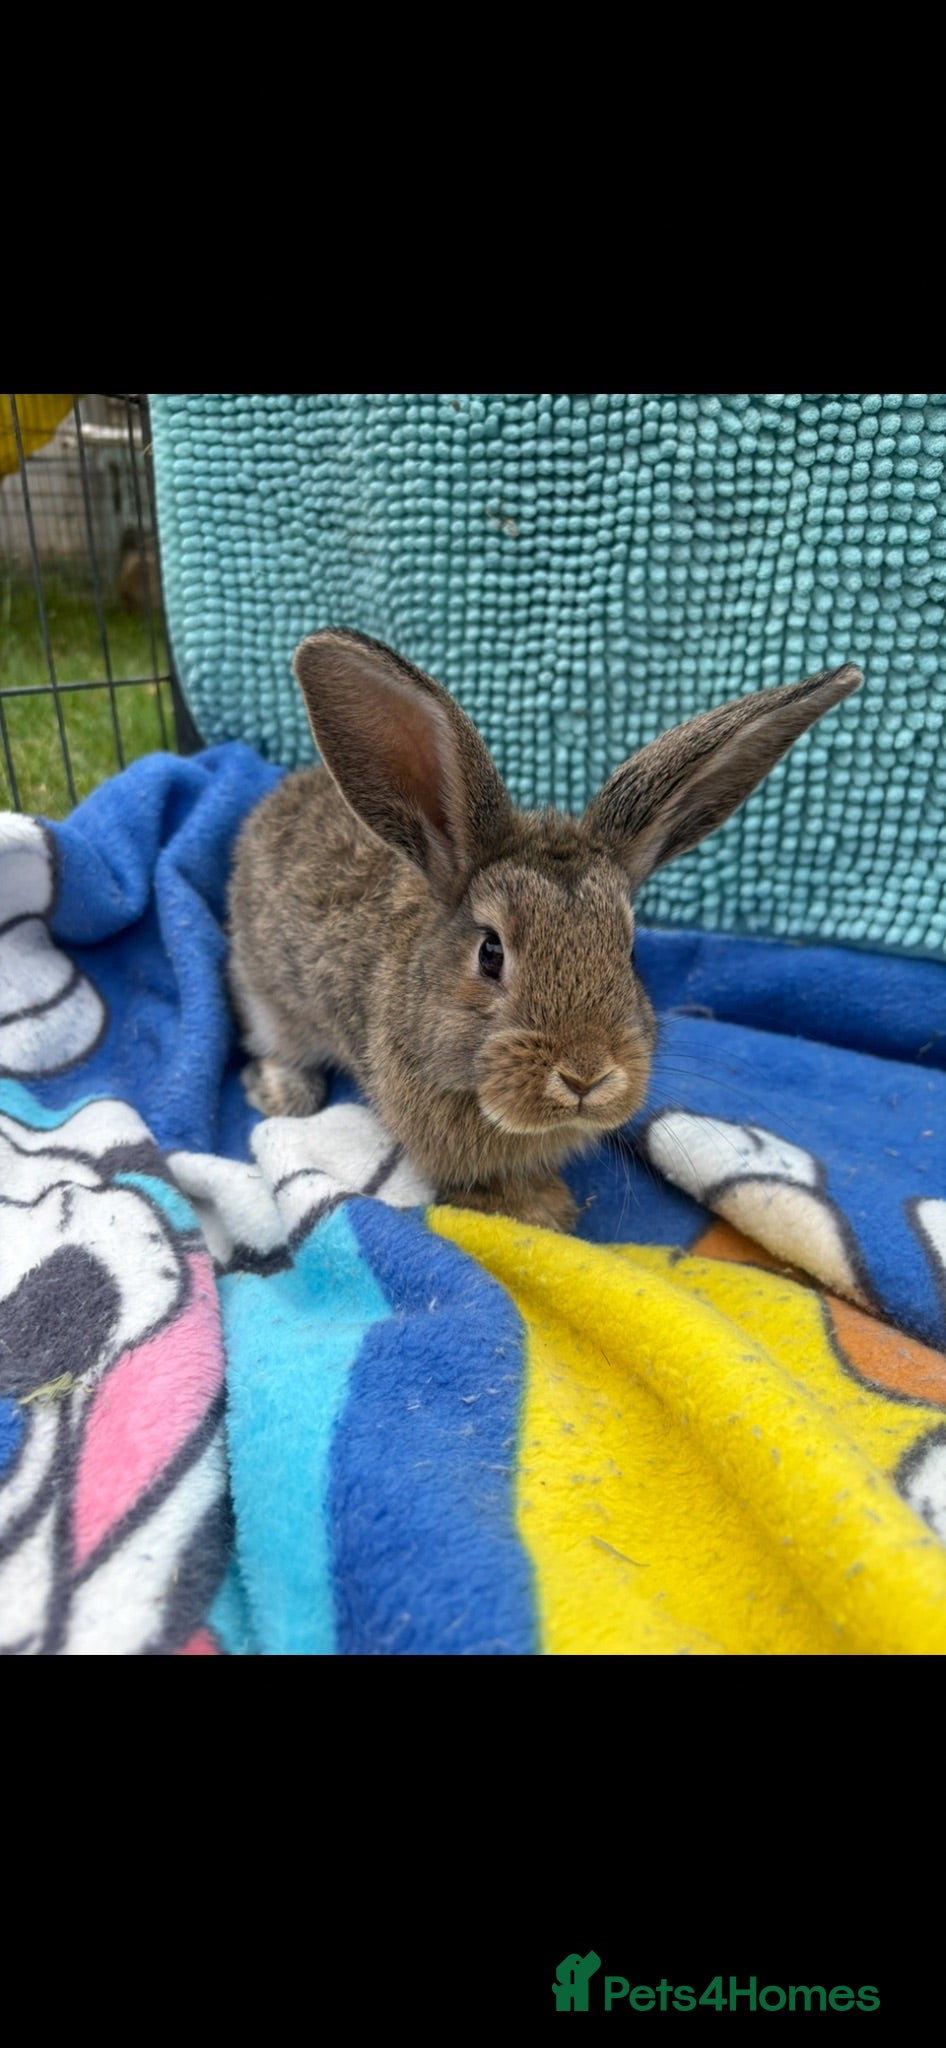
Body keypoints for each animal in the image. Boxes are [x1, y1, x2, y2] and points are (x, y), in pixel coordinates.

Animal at [227, 629, 862, 1234]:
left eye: (630, 953)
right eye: (490, 953)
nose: (586, 1076)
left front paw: (545, 1205)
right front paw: (531, 1211)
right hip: (269, 992)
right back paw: (282, 1092)